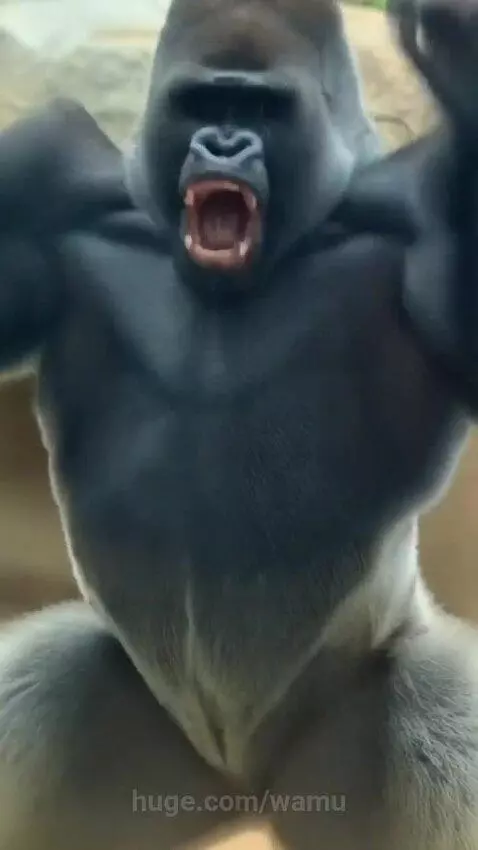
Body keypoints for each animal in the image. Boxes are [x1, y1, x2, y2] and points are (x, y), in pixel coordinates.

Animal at [1, 0, 478, 848]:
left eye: (260, 110)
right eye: (204, 104)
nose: (224, 144)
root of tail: (243, 786)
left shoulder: (421, 212)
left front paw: (459, 59)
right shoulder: (40, 180)